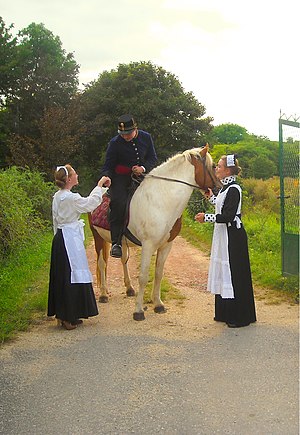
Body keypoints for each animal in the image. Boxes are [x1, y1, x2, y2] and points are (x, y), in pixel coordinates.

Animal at [88, 145, 219, 322]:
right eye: (213, 166)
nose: (219, 188)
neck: (161, 200)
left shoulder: (166, 245)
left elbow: (158, 273)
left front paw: (158, 304)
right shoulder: (148, 245)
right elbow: (143, 276)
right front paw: (138, 311)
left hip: (120, 241)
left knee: (123, 260)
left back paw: (129, 288)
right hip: (98, 237)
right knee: (102, 264)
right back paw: (103, 294)